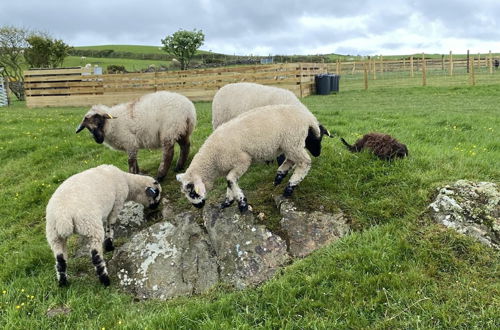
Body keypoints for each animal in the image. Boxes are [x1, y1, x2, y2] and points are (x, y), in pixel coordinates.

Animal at [177, 104, 332, 213]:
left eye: (193, 192)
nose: (197, 207)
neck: (213, 159)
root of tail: (308, 117)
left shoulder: (242, 161)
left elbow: (230, 180)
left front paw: (242, 204)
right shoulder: (231, 166)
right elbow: (230, 183)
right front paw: (228, 201)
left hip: (292, 141)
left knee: (305, 162)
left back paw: (289, 187)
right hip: (291, 144)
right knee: (292, 159)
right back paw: (280, 175)